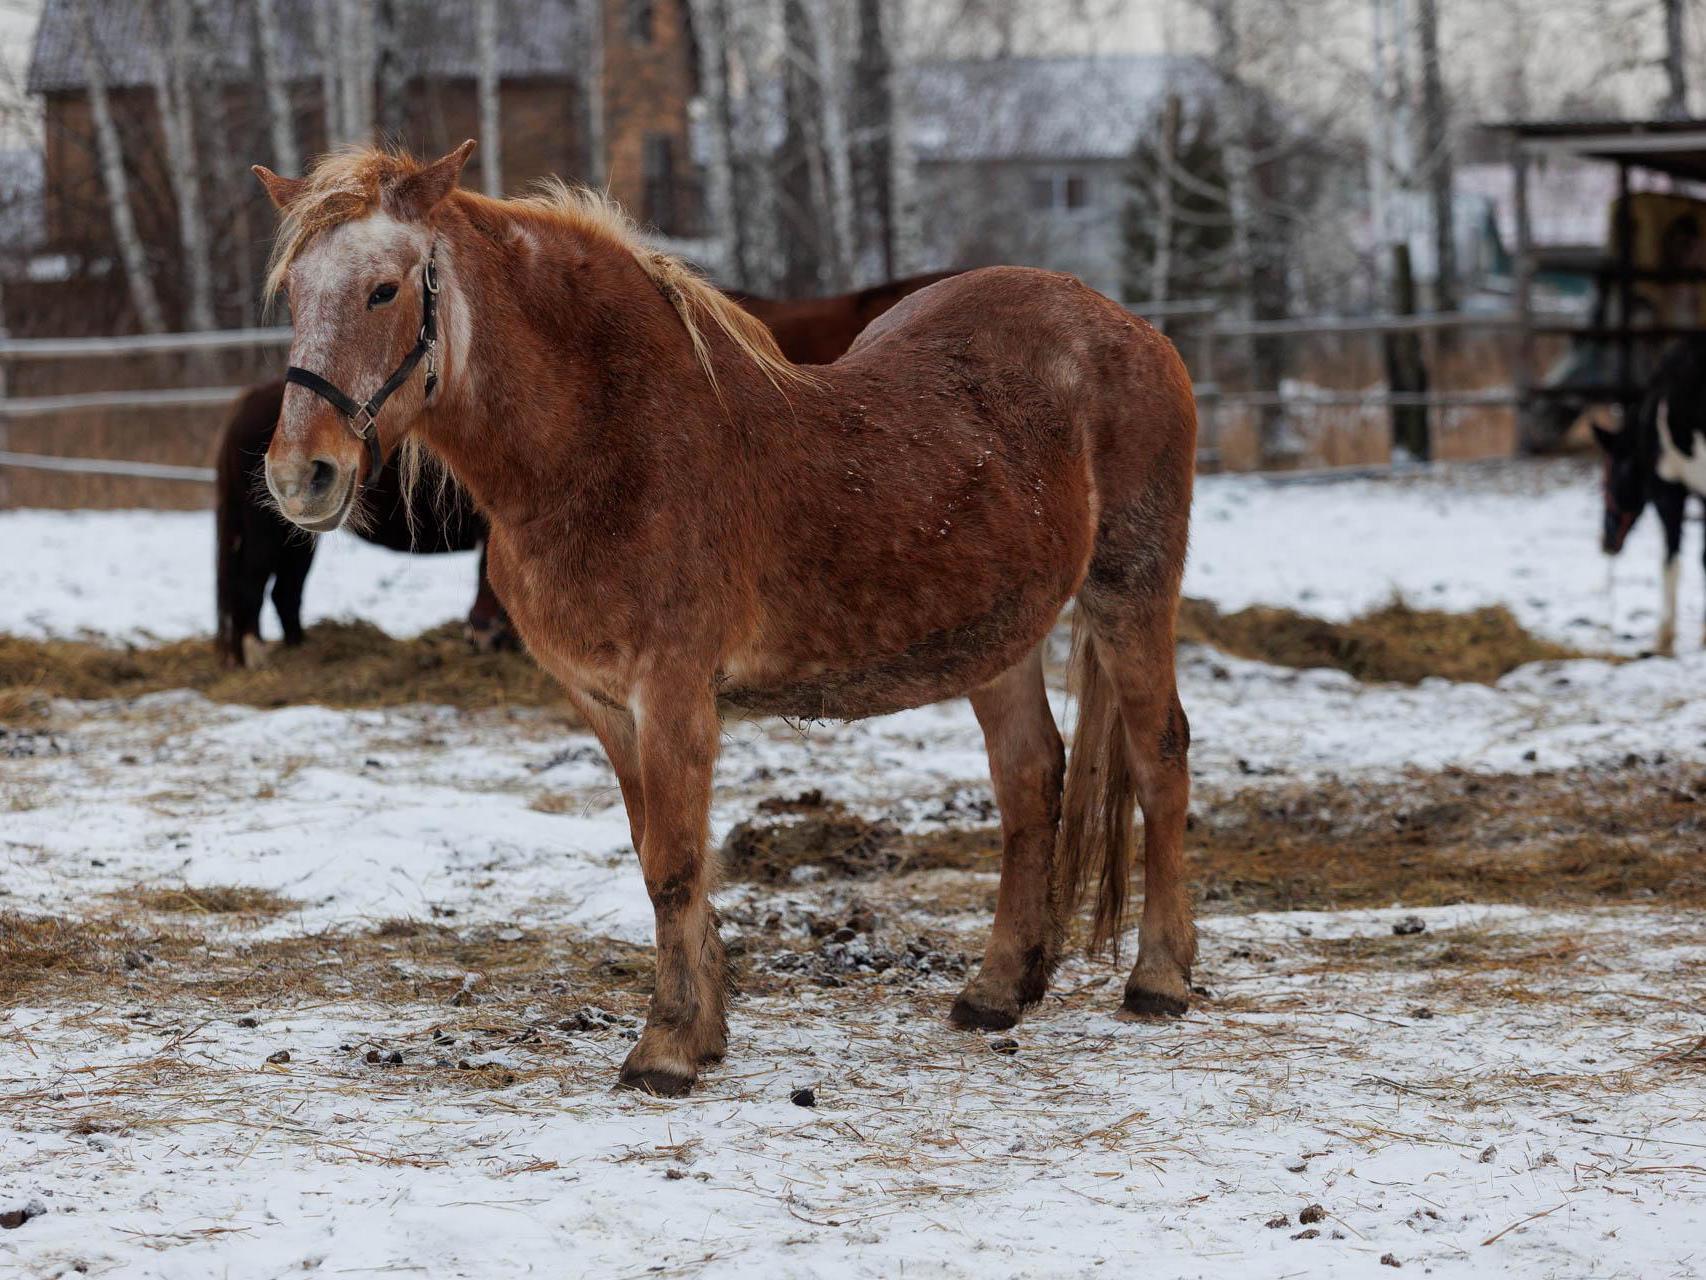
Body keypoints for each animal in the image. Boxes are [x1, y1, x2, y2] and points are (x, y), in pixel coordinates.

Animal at [215, 379, 511, 666]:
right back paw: (256, 654)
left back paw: (298, 650)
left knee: (285, 592)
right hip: (264, 531)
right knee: (251, 583)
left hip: (295, 540)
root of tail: (249, 400)